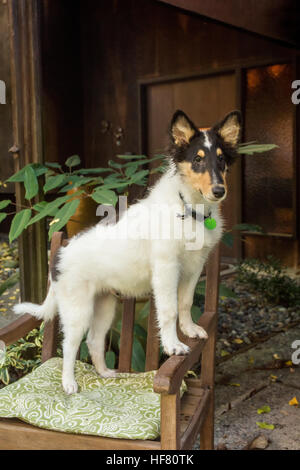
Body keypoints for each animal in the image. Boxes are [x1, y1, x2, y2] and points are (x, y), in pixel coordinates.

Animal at [14, 109, 241, 392]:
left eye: (221, 160)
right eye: (197, 160)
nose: (219, 191)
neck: (189, 208)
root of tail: (58, 255)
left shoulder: (193, 267)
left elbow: (186, 303)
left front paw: (189, 330)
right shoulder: (166, 268)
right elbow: (169, 310)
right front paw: (173, 346)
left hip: (105, 305)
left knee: (94, 340)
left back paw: (105, 373)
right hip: (78, 309)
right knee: (69, 346)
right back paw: (68, 383)